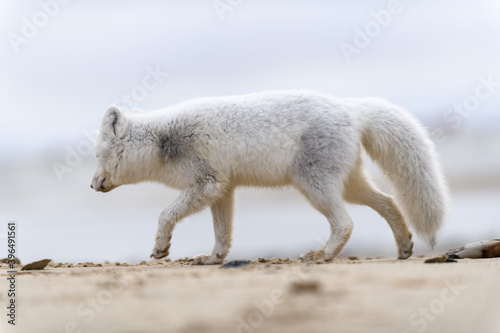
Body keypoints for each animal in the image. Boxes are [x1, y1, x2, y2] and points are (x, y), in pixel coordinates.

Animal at [91, 89, 450, 264]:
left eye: (95, 156)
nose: (92, 185)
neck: (163, 140)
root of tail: (351, 109)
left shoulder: (208, 183)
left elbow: (166, 214)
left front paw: (161, 248)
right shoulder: (223, 189)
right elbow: (223, 234)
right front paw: (213, 259)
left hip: (314, 186)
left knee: (346, 223)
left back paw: (322, 255)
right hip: (348, 185)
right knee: (388, 202)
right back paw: (404, 247)